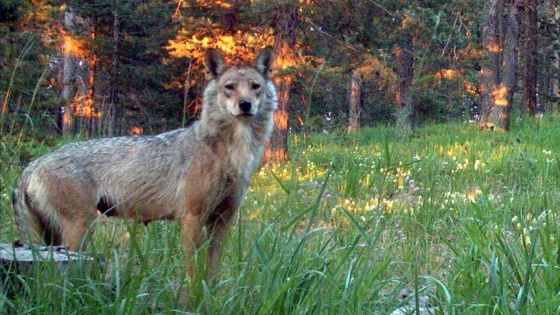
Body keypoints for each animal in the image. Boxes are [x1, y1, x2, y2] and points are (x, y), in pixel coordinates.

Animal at [11, 46, 278, 278]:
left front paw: (207, 299)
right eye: (229, 87)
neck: (232, 155)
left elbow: (210, 275)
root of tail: (33, 165)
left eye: (255, 87)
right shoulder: (192, 218)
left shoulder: (222, 221)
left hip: (56, 237)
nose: (245, 104)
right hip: (80, 230)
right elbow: (192, 274)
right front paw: (189, 301)